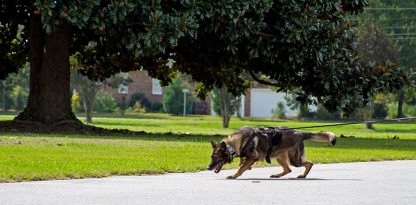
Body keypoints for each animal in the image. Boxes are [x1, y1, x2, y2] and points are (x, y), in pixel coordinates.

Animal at [206, 125, 336, 179]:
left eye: (216, 157)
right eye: (211, 157)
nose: (208, 168)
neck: (234, 144)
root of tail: (299, 132)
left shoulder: (253, 157)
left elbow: (240, 168)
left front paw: (234, 175)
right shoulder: (248, 158)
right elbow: (241, 164)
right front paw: (247, 167)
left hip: (294, 160)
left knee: (309, 164)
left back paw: (303, 175)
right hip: (280, 157)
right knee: (288, 169)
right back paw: (277, 175)